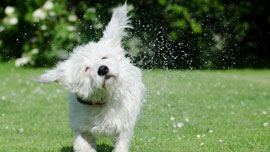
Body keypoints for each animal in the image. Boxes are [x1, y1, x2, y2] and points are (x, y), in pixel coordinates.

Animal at [38, 4, 146, 152]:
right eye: (86, 69)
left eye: (104, 57)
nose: (102, 69)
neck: (102, 100)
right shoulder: (81, 128)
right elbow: (83, 145)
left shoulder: (123, 126)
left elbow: (121, 144)